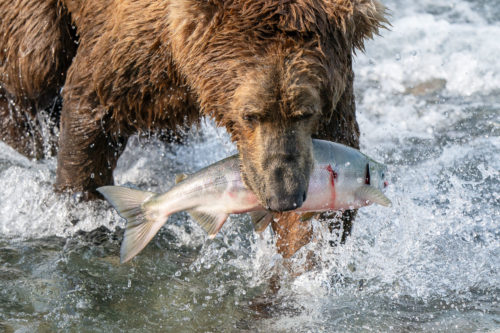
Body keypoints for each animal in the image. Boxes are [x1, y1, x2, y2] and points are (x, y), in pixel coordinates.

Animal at [0, 0, 386, 258]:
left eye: (305, 112)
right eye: (251, 115)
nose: (284, 196)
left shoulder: (332, 93)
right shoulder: (133, 49)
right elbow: (92, 110)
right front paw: (81, 209)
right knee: (33, 65)